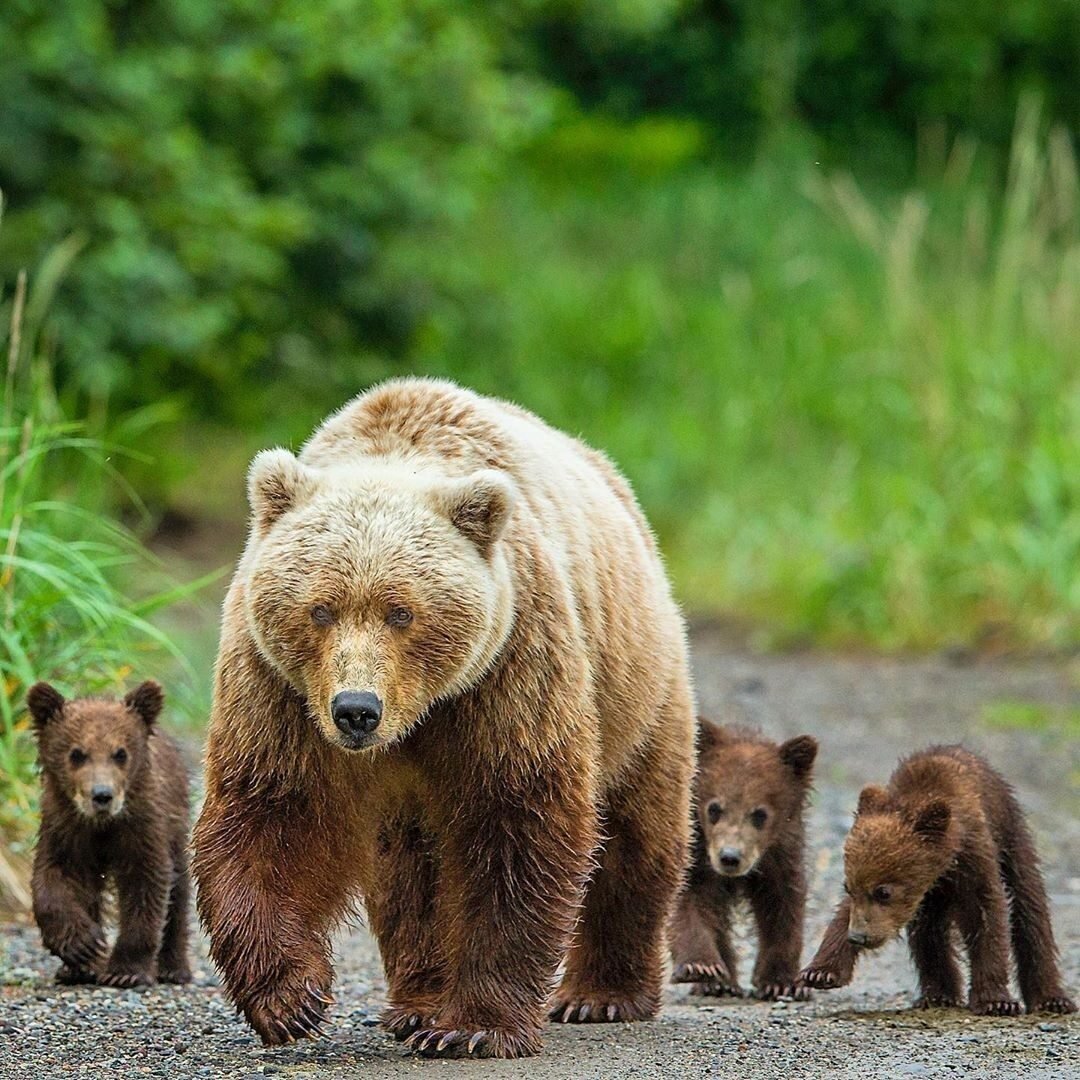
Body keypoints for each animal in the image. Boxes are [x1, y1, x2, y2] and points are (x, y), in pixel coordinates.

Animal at [27, 679, 192, 987]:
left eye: (120, 753)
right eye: (77, 753)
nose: (102, 795)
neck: (102, 825)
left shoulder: (143, 828)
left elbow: (146, 884)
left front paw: (125, 971)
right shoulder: (64, 827)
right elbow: (52, 878)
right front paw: (82, 946)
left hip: (176, 824)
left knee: (180, 892)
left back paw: (174, 968)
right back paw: (78, 969)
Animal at [191, 378, 696, 1058]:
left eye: (401, 612)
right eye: (321, 609)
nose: (356, 711)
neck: (420, 714)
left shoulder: (509, 664)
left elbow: (517, 819)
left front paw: (475, 1025)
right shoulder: (279, 689)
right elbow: (273, 812)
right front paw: (291, 998)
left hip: (638, 688)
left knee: (638, 834)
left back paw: (602, 994)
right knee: (411, 872)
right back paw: (417, 1002)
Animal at [670, 721, 817, 1001]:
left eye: (760, 814)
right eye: (714, 808)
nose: (730, 857)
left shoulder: (779, 856)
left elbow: (782, 908)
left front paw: (782, 982)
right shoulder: (696, 855)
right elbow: (688, 903)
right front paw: (702, 968)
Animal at [800, 745, 1076, 1015]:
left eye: (884, 892)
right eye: (848, 887)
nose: (858, 936)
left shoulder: (974, 860)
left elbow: (989, 916)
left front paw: (995, 1001)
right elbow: (845, 914)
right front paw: (820, 973)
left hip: (1012, 838)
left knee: (1029, 909)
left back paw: (1052, 999)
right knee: (930, 932)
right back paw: (938, 995)